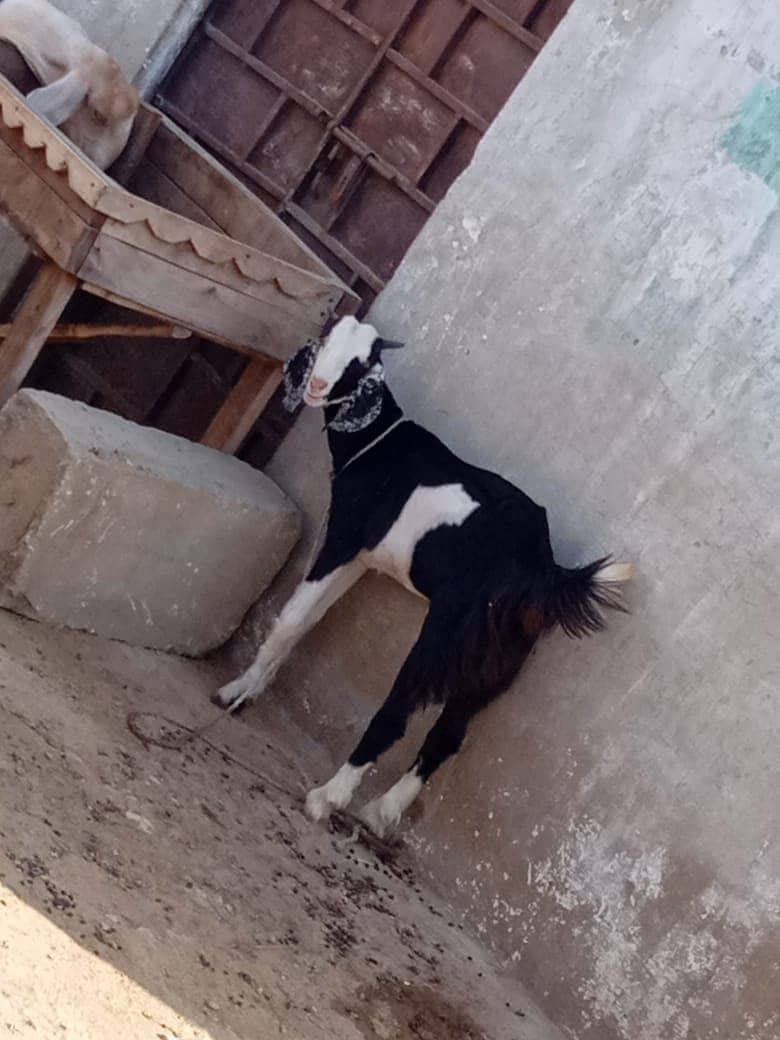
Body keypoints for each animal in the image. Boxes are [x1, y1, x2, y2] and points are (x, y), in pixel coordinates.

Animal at [215, 316, 636, 836]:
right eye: (328, 341)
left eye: (362, 363)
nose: (316, 386)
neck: (380, 446)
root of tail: (543, 569)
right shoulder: (364, 558)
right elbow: (309, 620)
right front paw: (250, 689)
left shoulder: (344, 537)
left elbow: (292, 618)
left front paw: (235, 691)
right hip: (499, 658)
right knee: (449, 734)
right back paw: (380, 812)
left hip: (443, 635)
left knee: (397, 715)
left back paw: (327, 797)